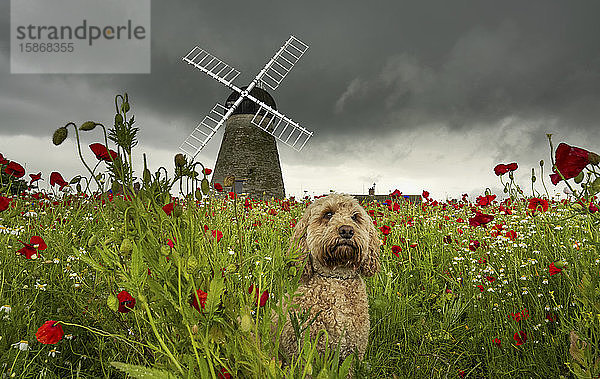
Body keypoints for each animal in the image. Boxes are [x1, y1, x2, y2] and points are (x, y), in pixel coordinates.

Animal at [280, 194, 382, 364]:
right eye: (328, 214)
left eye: (355, 217)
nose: (346, 230)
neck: (336, 276)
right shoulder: (307, 354)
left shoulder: (353, 354)